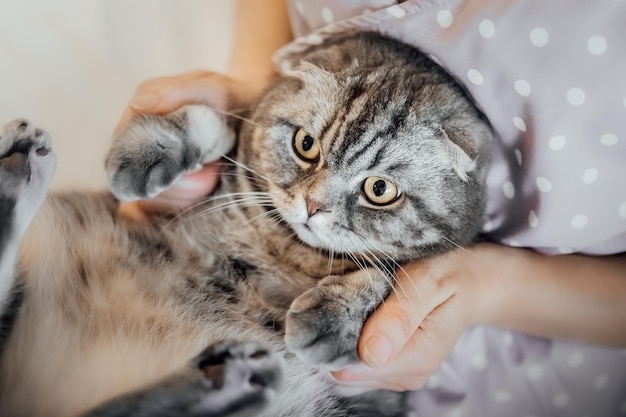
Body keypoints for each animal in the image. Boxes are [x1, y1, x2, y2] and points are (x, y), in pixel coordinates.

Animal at [0, 33, 490, 416]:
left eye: (380, 190)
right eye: (305, 144)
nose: (313, 206)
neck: (286, 248)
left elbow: (387, 277)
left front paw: (332, 317)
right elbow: (216, 122)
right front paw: (149, 150)